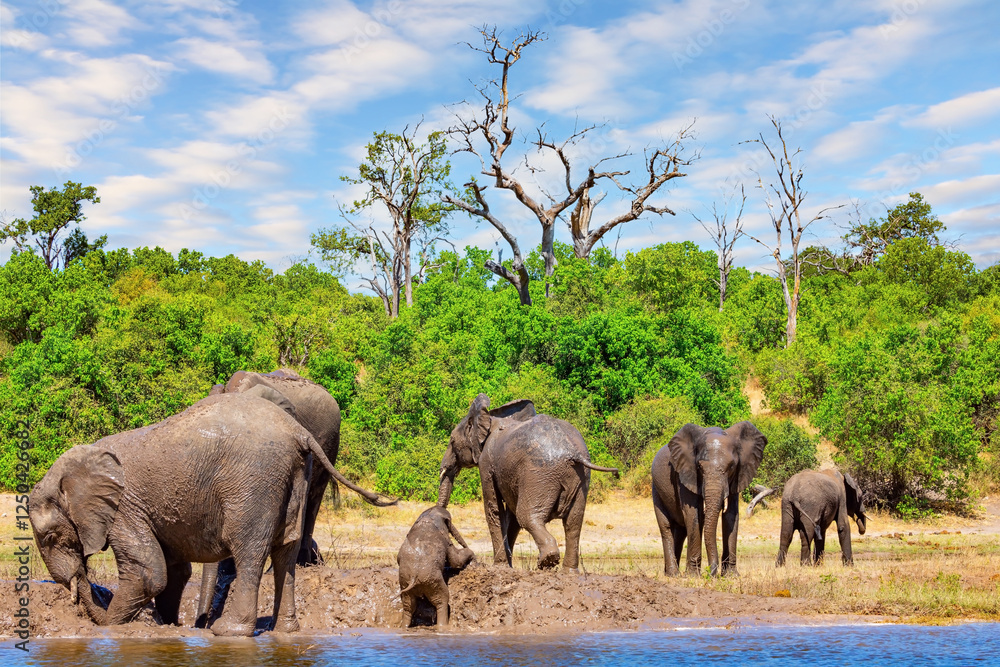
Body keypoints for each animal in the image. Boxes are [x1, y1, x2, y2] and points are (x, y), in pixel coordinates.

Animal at [28, 388, 394, 637]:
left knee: (250, 550)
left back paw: (228, 631)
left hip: (254, 483)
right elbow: (175, 570)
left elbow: (149, 572)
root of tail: (299, 432)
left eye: (50, 537)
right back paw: (284, 630)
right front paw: (166, 624)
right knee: (285, 552)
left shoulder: (124, 508)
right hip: (296, 477)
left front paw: (115, 626)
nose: (85, 595)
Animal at [436, 394, 619, 572]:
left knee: (528, 516)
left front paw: (500, 567)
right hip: (580, 477)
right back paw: (569, 572)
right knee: (573, 523)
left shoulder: (486, 462)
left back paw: (546, 562)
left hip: (539, 474)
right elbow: (511, 516)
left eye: (452, 441)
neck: (490, 418)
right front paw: (508, 565)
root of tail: (573, 453)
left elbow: (494, 509)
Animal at [651, 422, 767, 577]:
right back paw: (673, 574)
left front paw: (731, 575)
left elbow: (731, 515)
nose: (711, 574)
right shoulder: (684, 473)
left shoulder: (737, 477)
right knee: (666, 527)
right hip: (656, 488)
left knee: (681, 531)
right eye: (699, 467)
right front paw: (693, 576)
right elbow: (693, 513)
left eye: (732, 466)